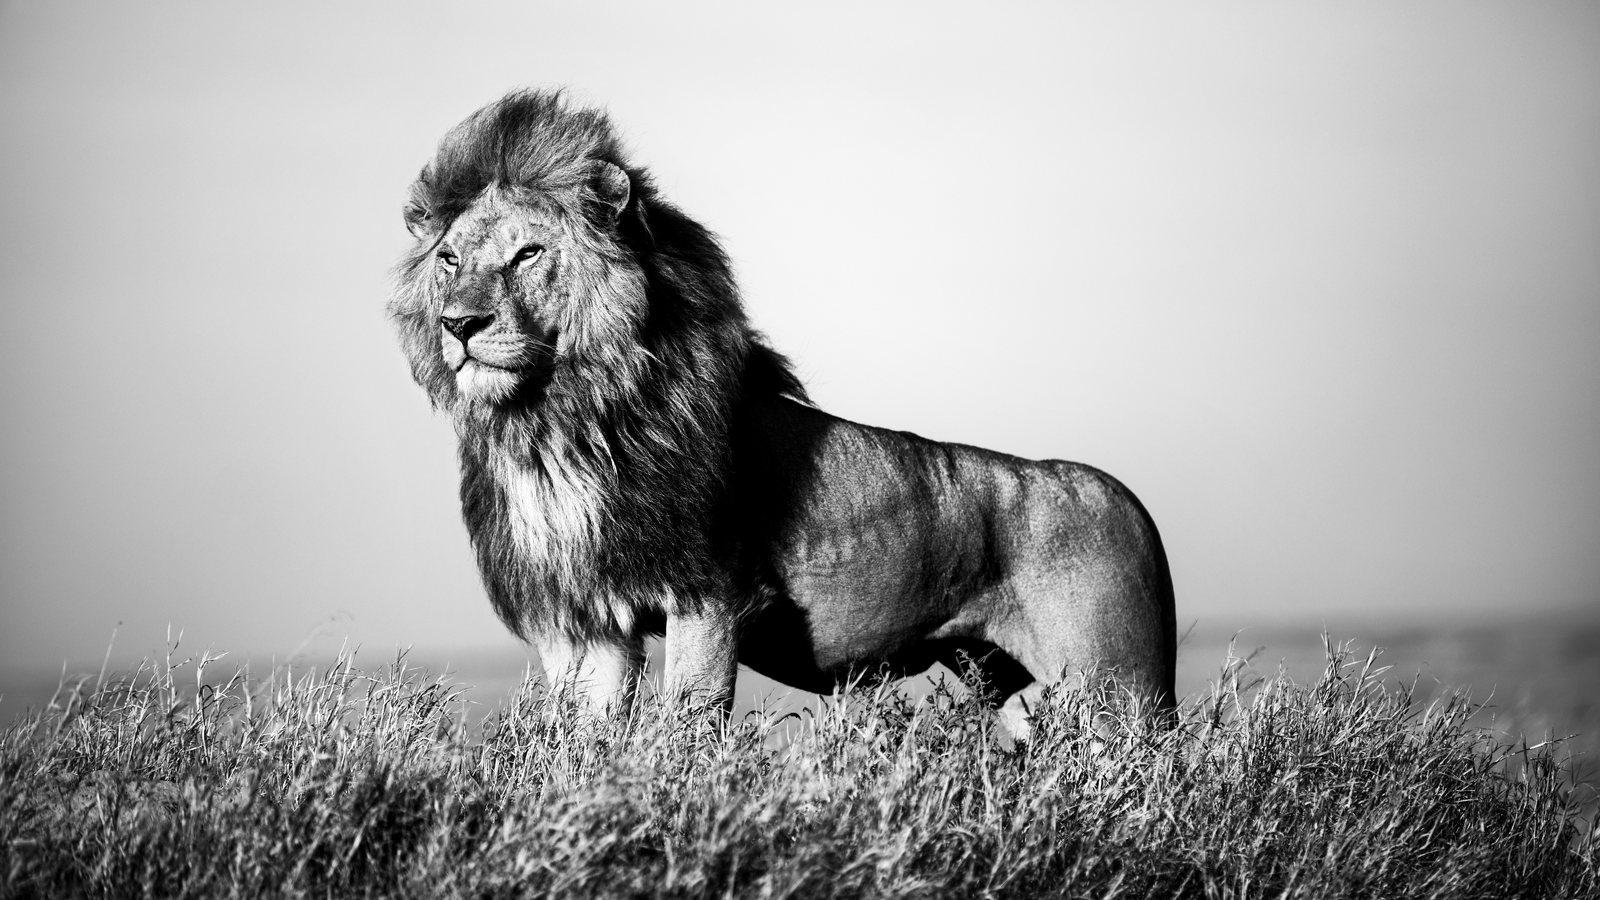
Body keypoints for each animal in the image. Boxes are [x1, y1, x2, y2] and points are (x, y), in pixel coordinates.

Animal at [389, 90, 1176, 734]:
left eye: (527, 254)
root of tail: (1126, 499)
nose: (459, 325)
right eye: (450, 260)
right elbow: (580, 744)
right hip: (1007, 686)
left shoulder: (706, 595)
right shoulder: (581, 621)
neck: (554, 421)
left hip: (1121, 687)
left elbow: (686, 727)